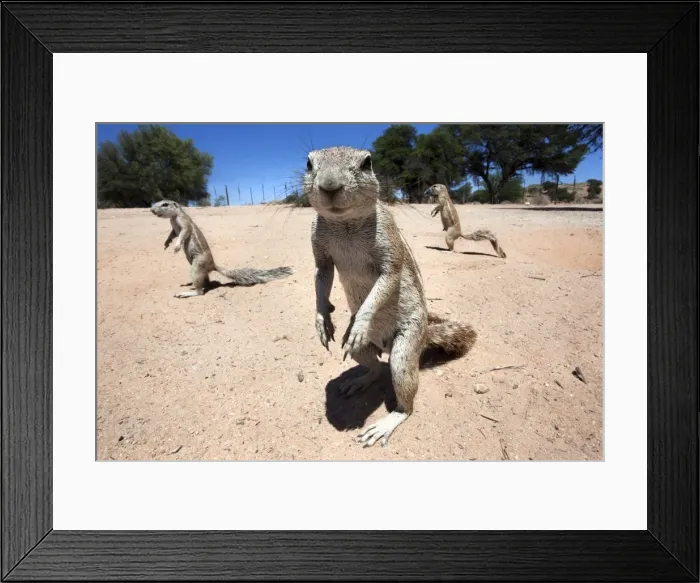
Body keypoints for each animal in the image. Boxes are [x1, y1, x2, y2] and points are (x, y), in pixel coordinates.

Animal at [150, 199, 293, 298]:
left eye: (164, 204)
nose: (151, 210)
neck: (174, 217)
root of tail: (213, 265)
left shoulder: (184, 223)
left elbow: (183, 234)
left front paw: (176, 246)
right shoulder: (173, 229)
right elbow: (172, 235)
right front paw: (166, 243)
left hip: (196, 266)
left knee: (201, 292)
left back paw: (186, 293)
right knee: (206, 282)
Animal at [305, 147, 477, 448]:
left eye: (367, 163)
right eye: (308, 163)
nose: (330, 186)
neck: (344, 223)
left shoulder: (388, 245)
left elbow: (387, 279)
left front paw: (360, 323)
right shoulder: (319, 250)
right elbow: (320, 279)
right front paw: (321, 320)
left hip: (404, 351)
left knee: (405, 401)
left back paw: (386, 423)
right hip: (360, 351)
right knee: (375, 368)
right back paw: (360, 380)